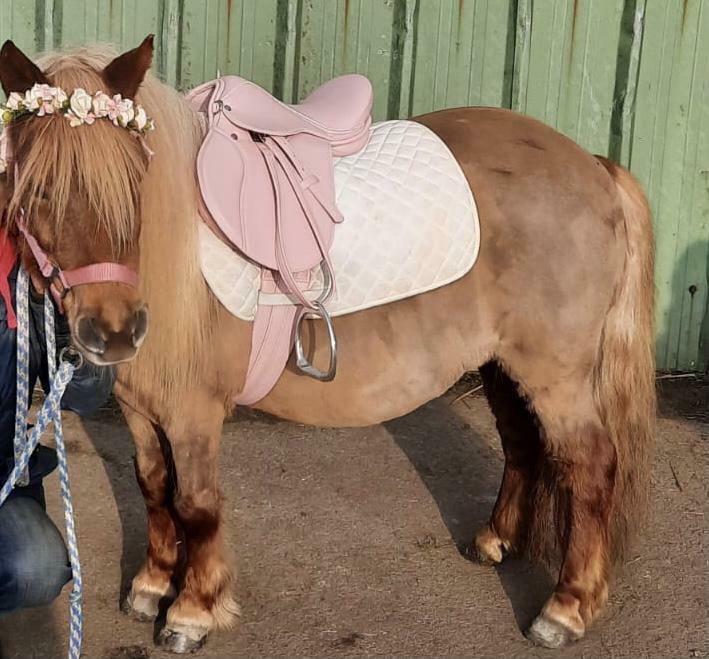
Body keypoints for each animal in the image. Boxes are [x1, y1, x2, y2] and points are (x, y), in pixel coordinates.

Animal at [0, 36, 655, 653]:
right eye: (35, 192)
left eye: (137, 185)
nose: (114, 333)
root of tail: (594, 165)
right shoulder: (140, 408)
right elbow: (153, 488)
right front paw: (151, 585)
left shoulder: (193, 414)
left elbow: (196, 505)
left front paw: (192, 611)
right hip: (503, 364)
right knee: (522, 443)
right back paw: (495, 541)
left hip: (557, 375)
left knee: (590, 466)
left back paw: (565, 609)